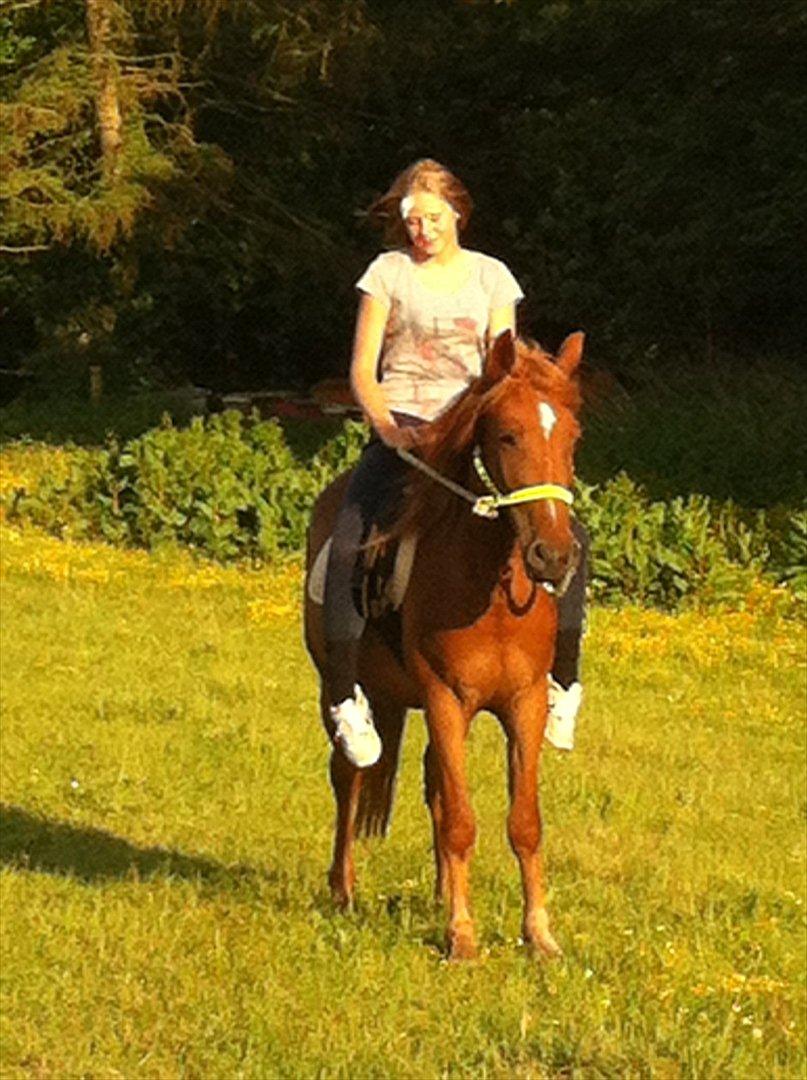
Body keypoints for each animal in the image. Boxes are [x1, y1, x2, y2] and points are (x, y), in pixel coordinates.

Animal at [304, 329, 583, 960]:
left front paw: (539, 935)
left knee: (431, 781)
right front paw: (462, 936)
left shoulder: (524, 702)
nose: (553, 556)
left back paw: (435, 895)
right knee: (348, 775)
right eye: (507, 434)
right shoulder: (445, 698)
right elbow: (460, 818)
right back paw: (343, 890)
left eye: (573, 436)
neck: (490, 589)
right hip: (340, 686)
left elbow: (523, 822)